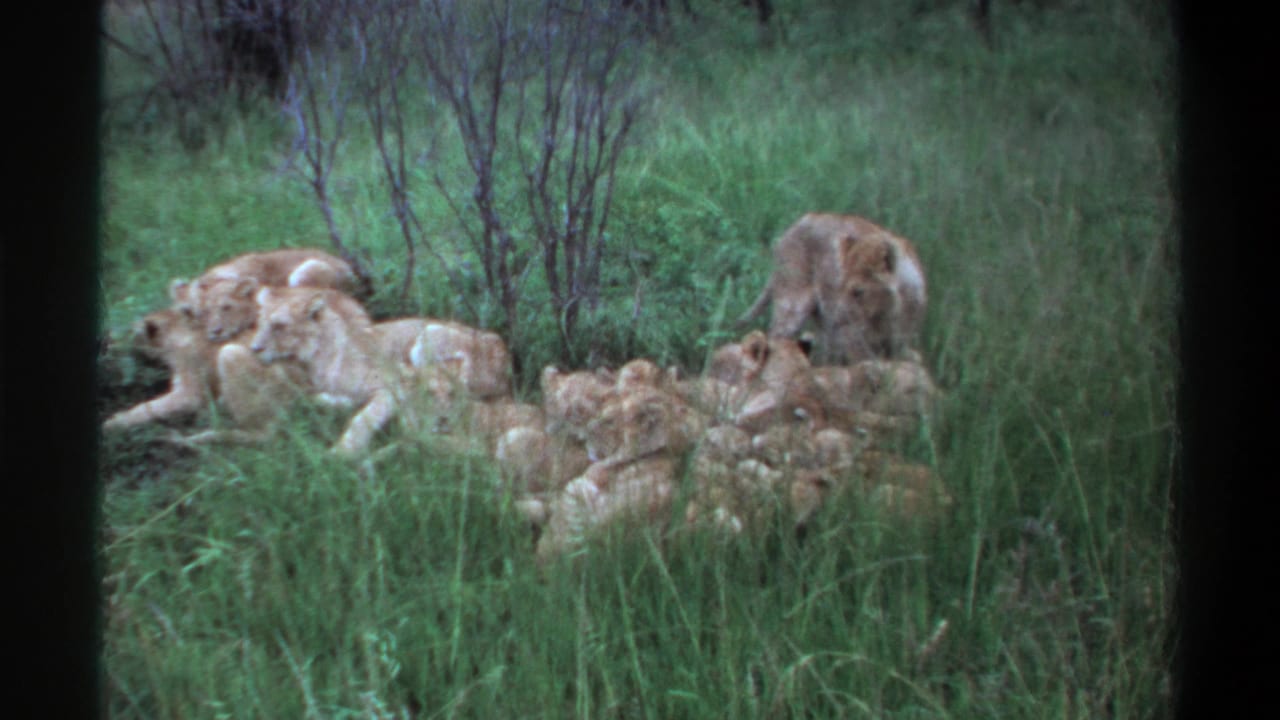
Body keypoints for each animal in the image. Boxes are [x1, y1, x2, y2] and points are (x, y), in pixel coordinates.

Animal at [738, 213, 927, 363]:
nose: (837, 318)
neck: (889, 315)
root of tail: (796, 224)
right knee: (775, 338)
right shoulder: (853, 340)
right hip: (792, 307)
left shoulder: (898, 344)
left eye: (858, 292)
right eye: (841, 286)